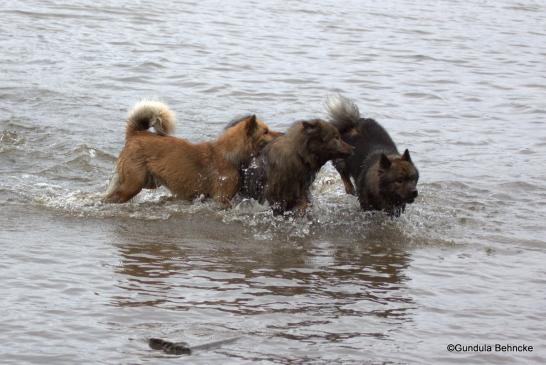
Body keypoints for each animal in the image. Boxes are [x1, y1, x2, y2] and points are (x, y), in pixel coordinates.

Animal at [103, 101, 278, 206]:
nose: (282, 134)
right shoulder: (221, 199)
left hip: (147, 182)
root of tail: (136, 133)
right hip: (132, 185)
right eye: (266, 131)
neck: (229, 155)